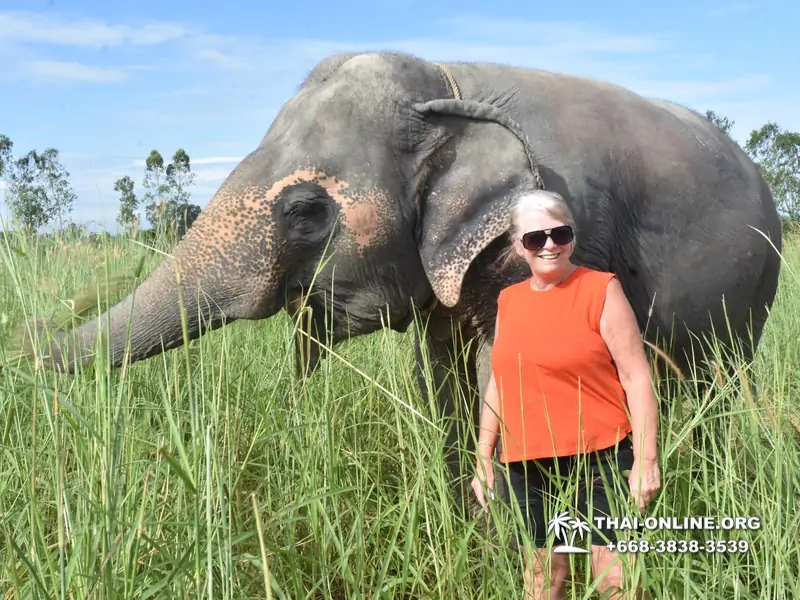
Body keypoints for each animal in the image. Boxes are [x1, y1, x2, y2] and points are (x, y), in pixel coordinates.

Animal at [22, 51, 782, 512]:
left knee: (719, 380)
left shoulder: (556, 227)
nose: (26, 328)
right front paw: (467, 511)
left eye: (306, 211)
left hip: (752, 294)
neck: (448, 87)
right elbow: (441, 373)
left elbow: (506, 372)